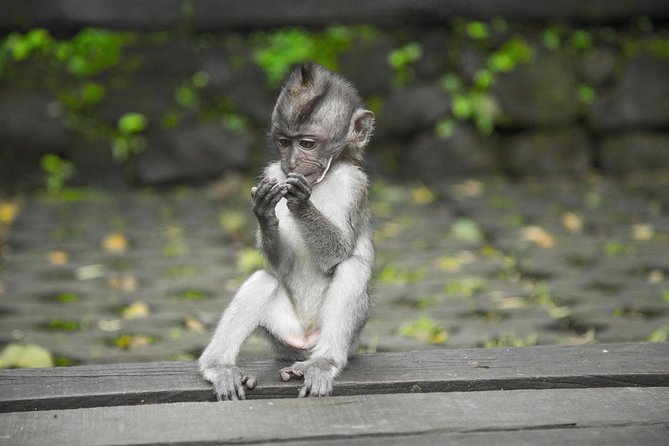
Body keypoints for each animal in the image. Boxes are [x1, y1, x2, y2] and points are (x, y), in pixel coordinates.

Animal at [199, 63, 375, 400]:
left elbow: (340, 253)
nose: (291, 163)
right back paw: (220, 367)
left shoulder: (355, 184)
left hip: (351, 338)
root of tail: (305, 340)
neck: (323, 180)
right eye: (283, 142)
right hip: (282, 336)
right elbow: (280, 265)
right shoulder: (272, 173)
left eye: (306, 144)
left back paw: (322, 363)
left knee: (352, 269)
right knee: (262, 279)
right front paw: (265, 213)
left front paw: (302, 203)